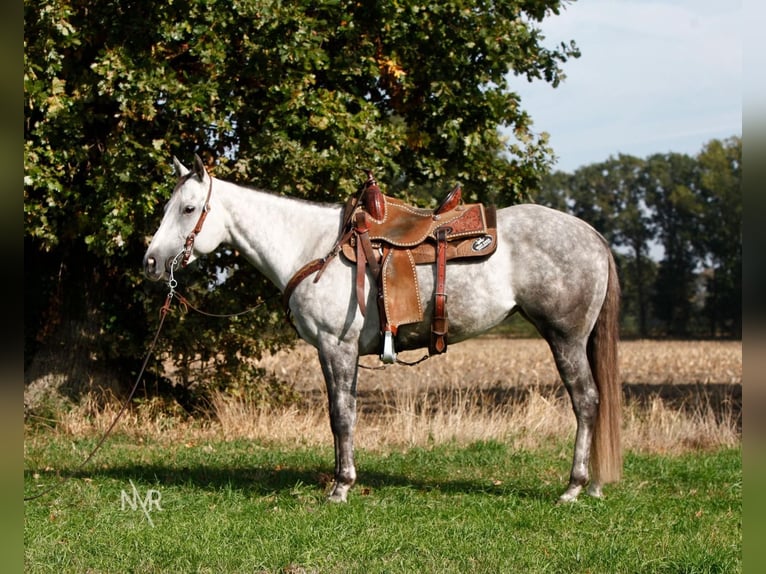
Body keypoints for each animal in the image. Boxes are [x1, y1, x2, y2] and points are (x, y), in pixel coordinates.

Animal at [143, 155, 622, 504]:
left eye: (188, 209)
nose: (150, 261)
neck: (312, 247)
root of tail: (592, 235)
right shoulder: (334, 352)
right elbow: (340, 414)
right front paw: (341, 479)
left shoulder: (337, 346)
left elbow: (342, 414)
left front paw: (341, 486)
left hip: (565, 338)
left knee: (586, 401)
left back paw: (575, 487)